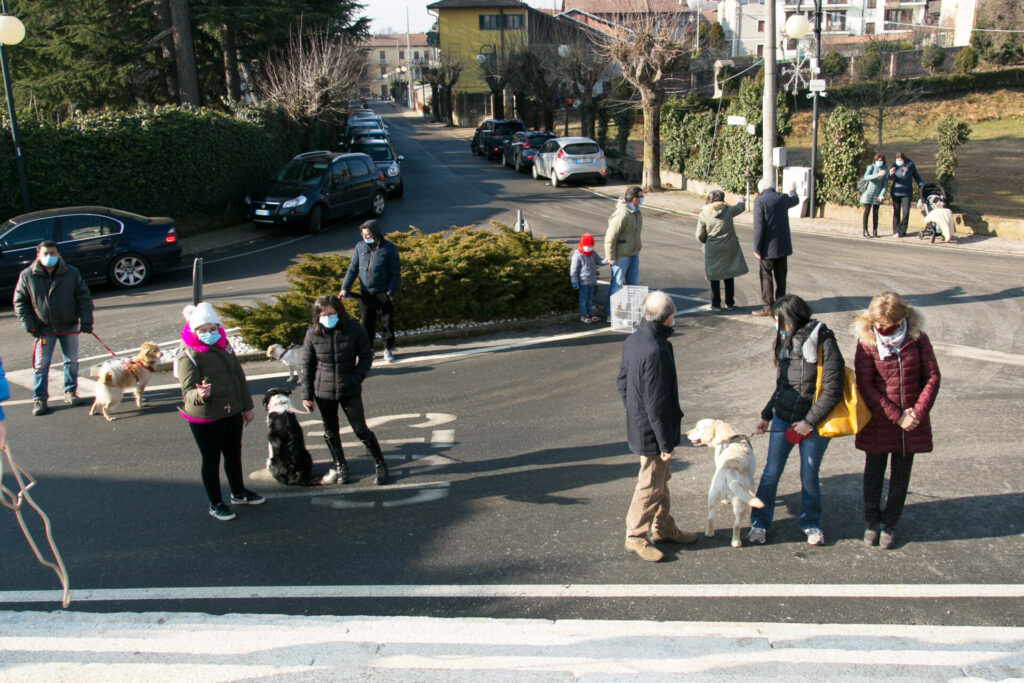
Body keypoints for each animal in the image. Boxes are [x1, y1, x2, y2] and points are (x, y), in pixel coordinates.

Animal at [684, 419, 765, 548]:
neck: (726, 434)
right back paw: (736, 542)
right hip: (738, 503)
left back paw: (710, 534)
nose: (686, 433)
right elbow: (753, 492)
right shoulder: (751, 479)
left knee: (710, 517)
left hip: (713, 495)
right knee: (736, 525)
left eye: (697, 428)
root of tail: (729, 473)